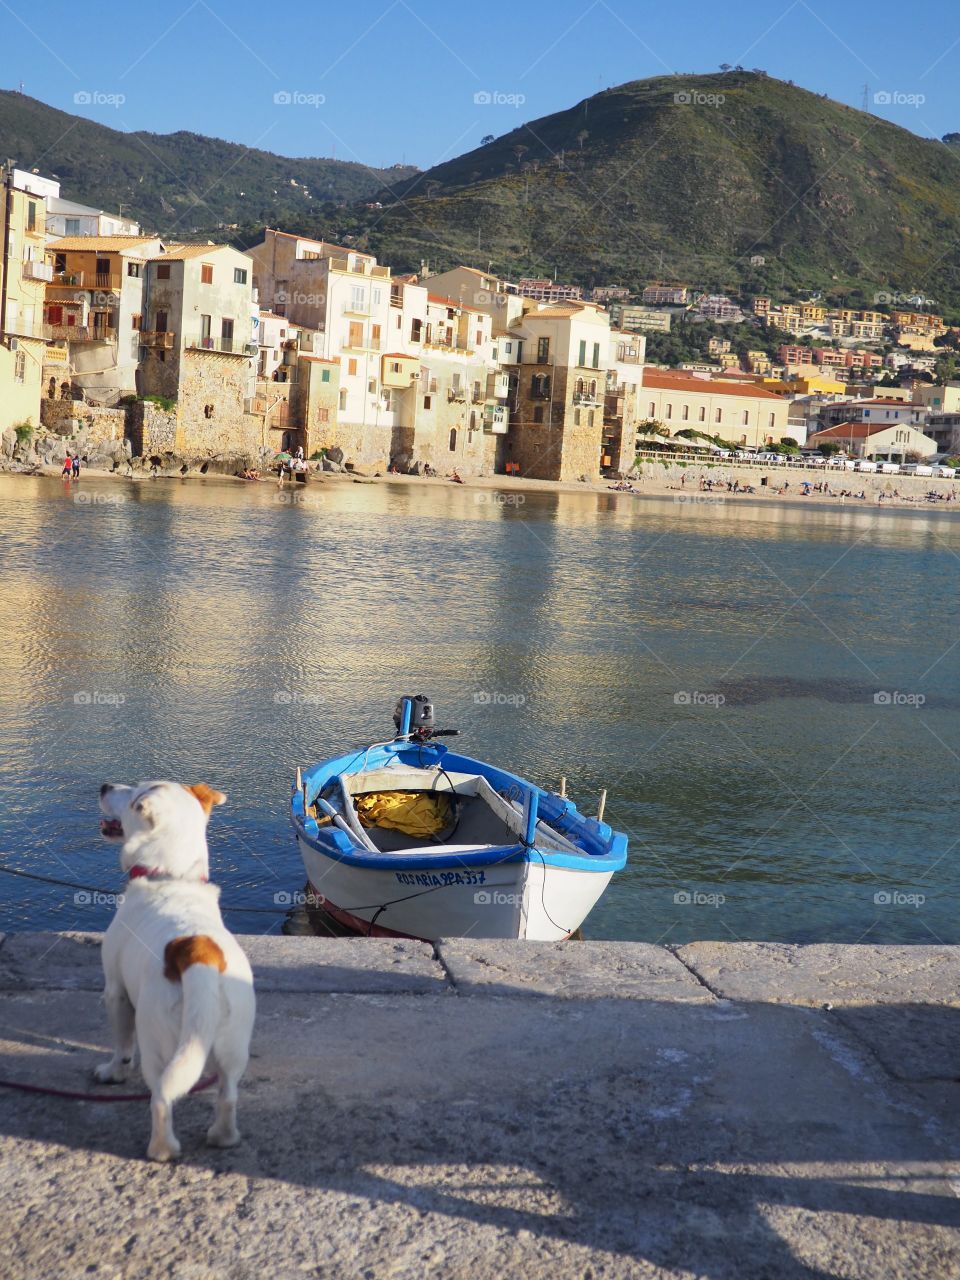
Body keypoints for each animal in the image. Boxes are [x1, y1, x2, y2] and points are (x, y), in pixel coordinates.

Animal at [97, 778, 256, 1162]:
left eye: (132, 795)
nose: (104, 785)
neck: (171, 876)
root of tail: (199, 952)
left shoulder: (115, 992)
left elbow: (122, 1048)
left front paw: (112, 1073)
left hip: (157, 1045)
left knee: (160, 1100)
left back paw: (161, 1149)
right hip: (233, 1048)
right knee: (228, 1096)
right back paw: (223, 1137)